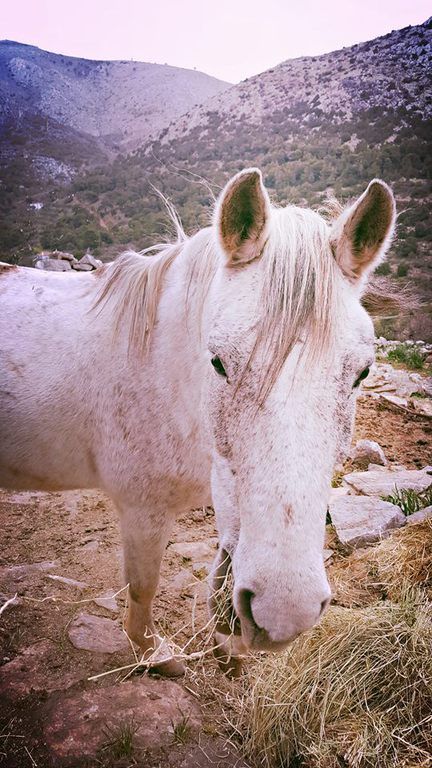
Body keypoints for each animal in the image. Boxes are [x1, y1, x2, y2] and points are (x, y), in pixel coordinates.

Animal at [0, 169, 396, 676]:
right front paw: (155, 655)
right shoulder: (142, 508)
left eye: (362, 373)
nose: (284, 612)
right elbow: (143, 585)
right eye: (218, 362)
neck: (156, 365)